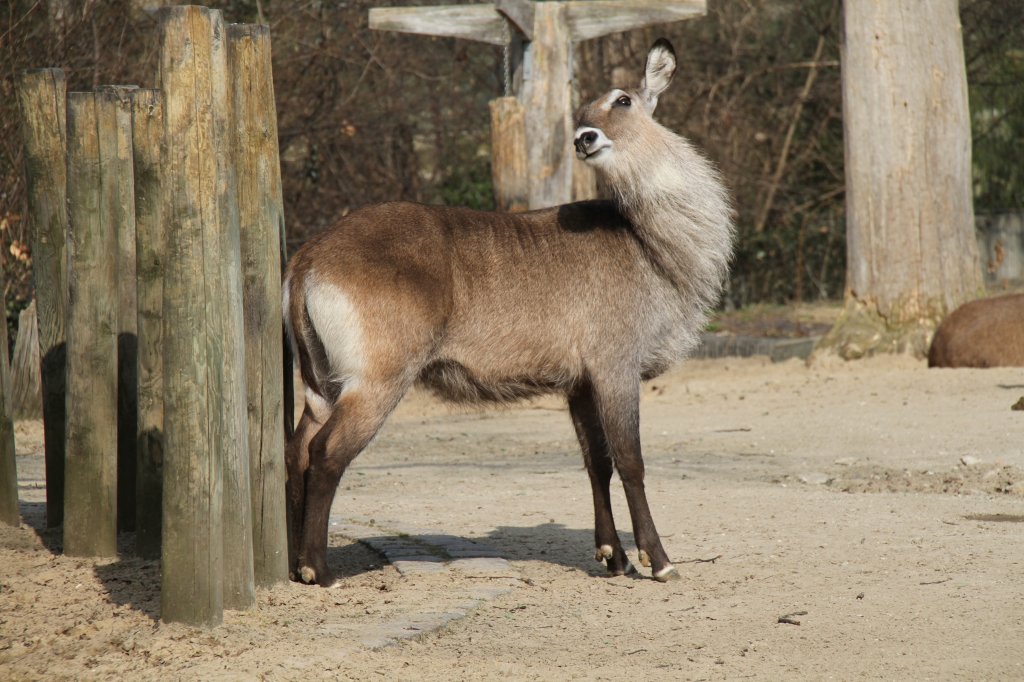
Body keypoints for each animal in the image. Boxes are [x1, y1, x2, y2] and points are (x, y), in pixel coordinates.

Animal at [282, 39, 737, 585]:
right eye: (584, 112)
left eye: (622, 100)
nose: (585, 138)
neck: (649, 244)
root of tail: (309, 256)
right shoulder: (615, 368)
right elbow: (631, 461)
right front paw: (657, 560)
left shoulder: (579, 382)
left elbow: (597, 463)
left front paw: (612, 555)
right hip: (375, 380)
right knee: (326, 454)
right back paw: (318, 568)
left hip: (320, 383)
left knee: (296, 451)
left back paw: (293, 563)